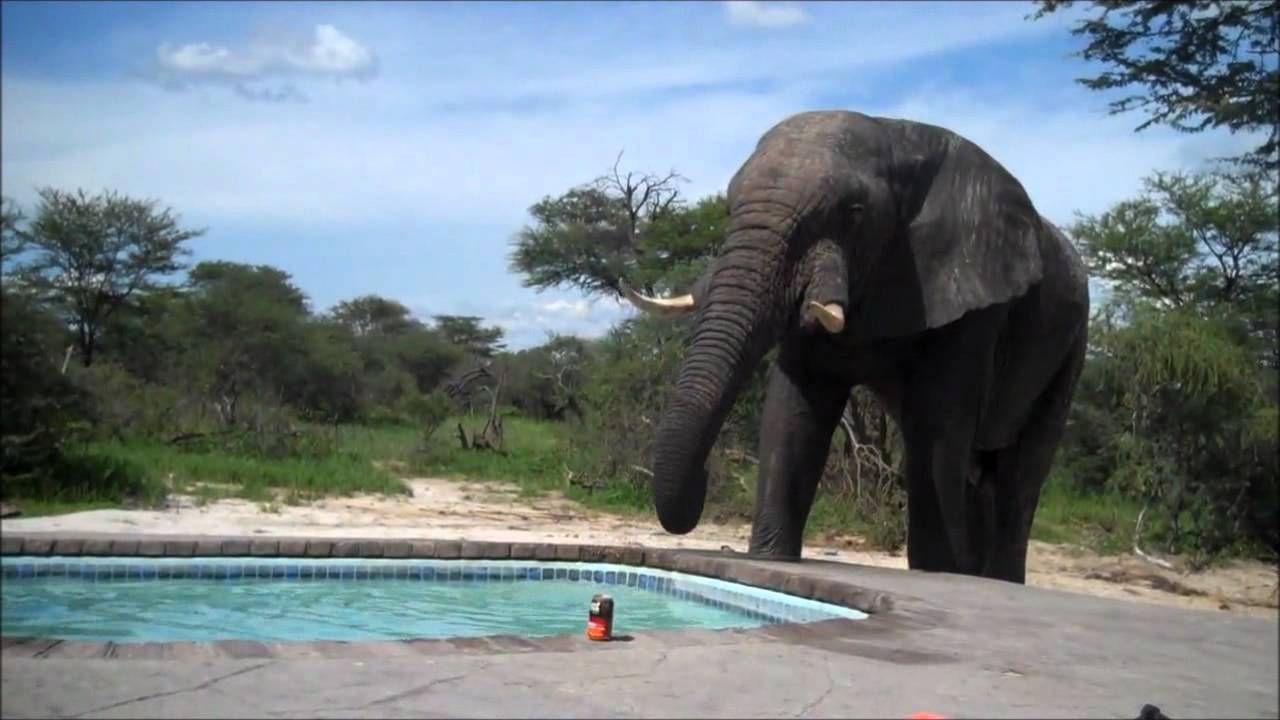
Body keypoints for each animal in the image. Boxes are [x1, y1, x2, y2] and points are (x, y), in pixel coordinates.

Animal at [622, 110, 1089, 584]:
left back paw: (994, 579)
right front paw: (770, 558)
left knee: (1020, 474)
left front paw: (937, 573)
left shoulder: (976, 300)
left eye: (854, 212)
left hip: (1072, 343)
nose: (703, 482)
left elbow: (938, 424)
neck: (897, 136)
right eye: (728, 209)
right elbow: (794, 409)